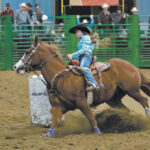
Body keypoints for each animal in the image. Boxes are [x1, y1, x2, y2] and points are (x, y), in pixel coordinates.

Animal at [13, 36, 150, 137]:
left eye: (27, 52)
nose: (15, 66)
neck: (60, 78)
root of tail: (133, 67)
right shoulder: (57, 106)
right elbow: (54, 122)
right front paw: (48, 134)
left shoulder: (82, 102)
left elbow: (91, 117)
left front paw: (98, 132)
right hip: (113, 99)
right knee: (125, 110)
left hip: (132, 90)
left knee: (144, 101)